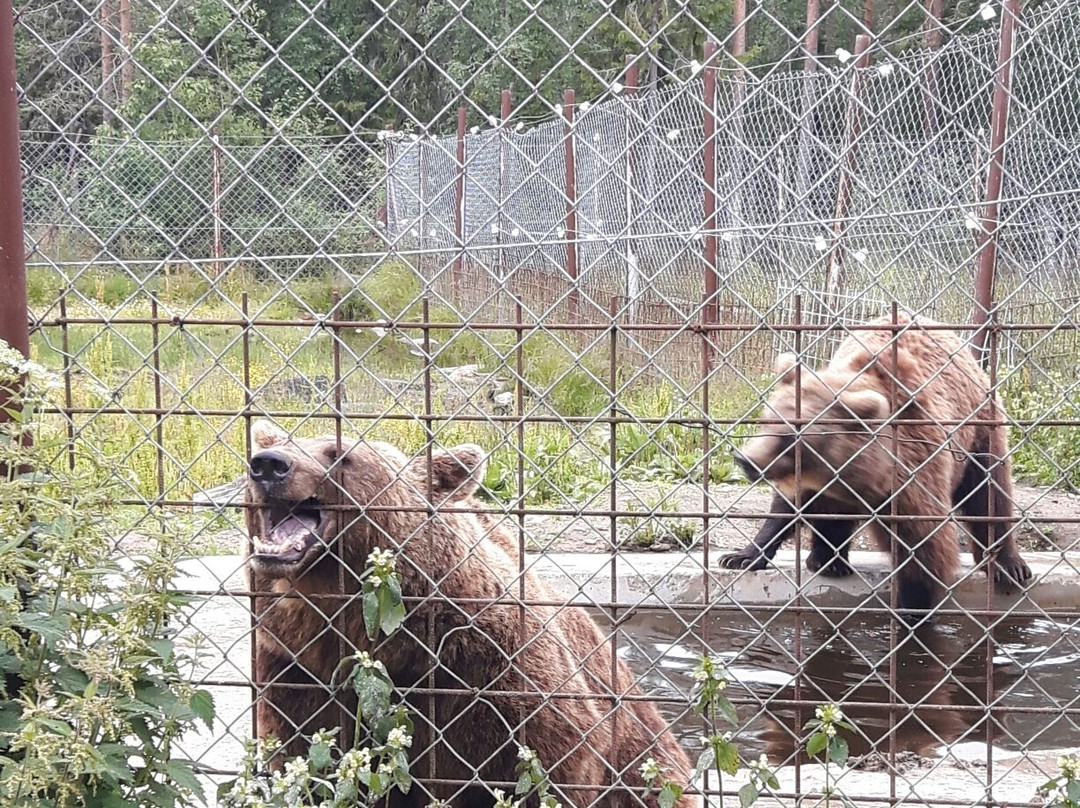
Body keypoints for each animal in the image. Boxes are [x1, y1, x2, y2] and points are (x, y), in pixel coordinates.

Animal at [247, 423, 691, 808]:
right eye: (283, 440)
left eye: (340, 454)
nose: (268, 464)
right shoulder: (297, 666)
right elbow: (308, 754)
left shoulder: (490, 669)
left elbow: (552, 761)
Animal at [721, 313, 1032, 613]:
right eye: (766, 420)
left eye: (788, 436)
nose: (746, 460)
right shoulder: (810, 482)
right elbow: (786, 508)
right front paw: (741, 556)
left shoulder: (913, 477)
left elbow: (926, 552)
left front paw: (911, 608)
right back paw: (827, 560)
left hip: (980, 434)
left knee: (989, 492)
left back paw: (1009, 565)